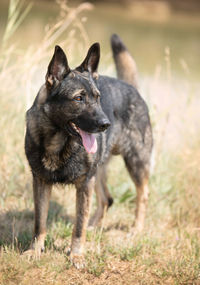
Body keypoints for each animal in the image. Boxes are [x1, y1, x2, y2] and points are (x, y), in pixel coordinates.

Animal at [25, 33, 153, 266]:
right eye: (78, 98)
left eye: (97, 97)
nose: (106, 124)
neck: (59, 141)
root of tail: (131, 87)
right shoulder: (40, 182)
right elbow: (40, 222)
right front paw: (35, 250)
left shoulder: (84, 184)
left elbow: (78, 226)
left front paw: (76, 255)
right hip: (98, 171)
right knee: (107, 199)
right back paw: (95, 226)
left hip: (135, 163)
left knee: (143, 195)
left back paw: (136, 229)